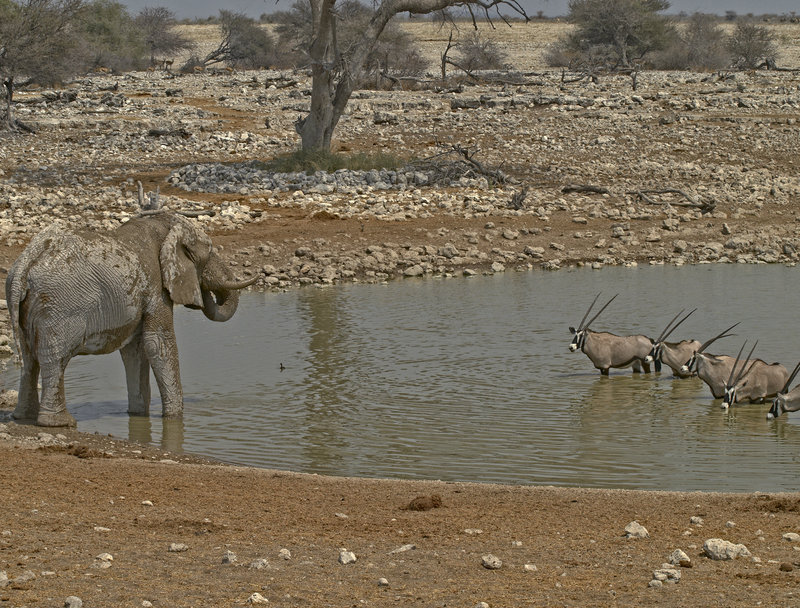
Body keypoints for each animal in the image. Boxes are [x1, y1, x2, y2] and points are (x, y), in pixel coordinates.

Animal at [6, 211, 257, 427]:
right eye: (210, 252)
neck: (165, 225)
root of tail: (25, 262)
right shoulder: (156, 287)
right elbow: (157, 343)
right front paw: (175, 418)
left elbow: (135, 350)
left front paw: (138, 415)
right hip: (59, 305)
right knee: (55, 358)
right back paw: (60, 423)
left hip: (25, 304)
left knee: (29, 358)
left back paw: (23, 418)